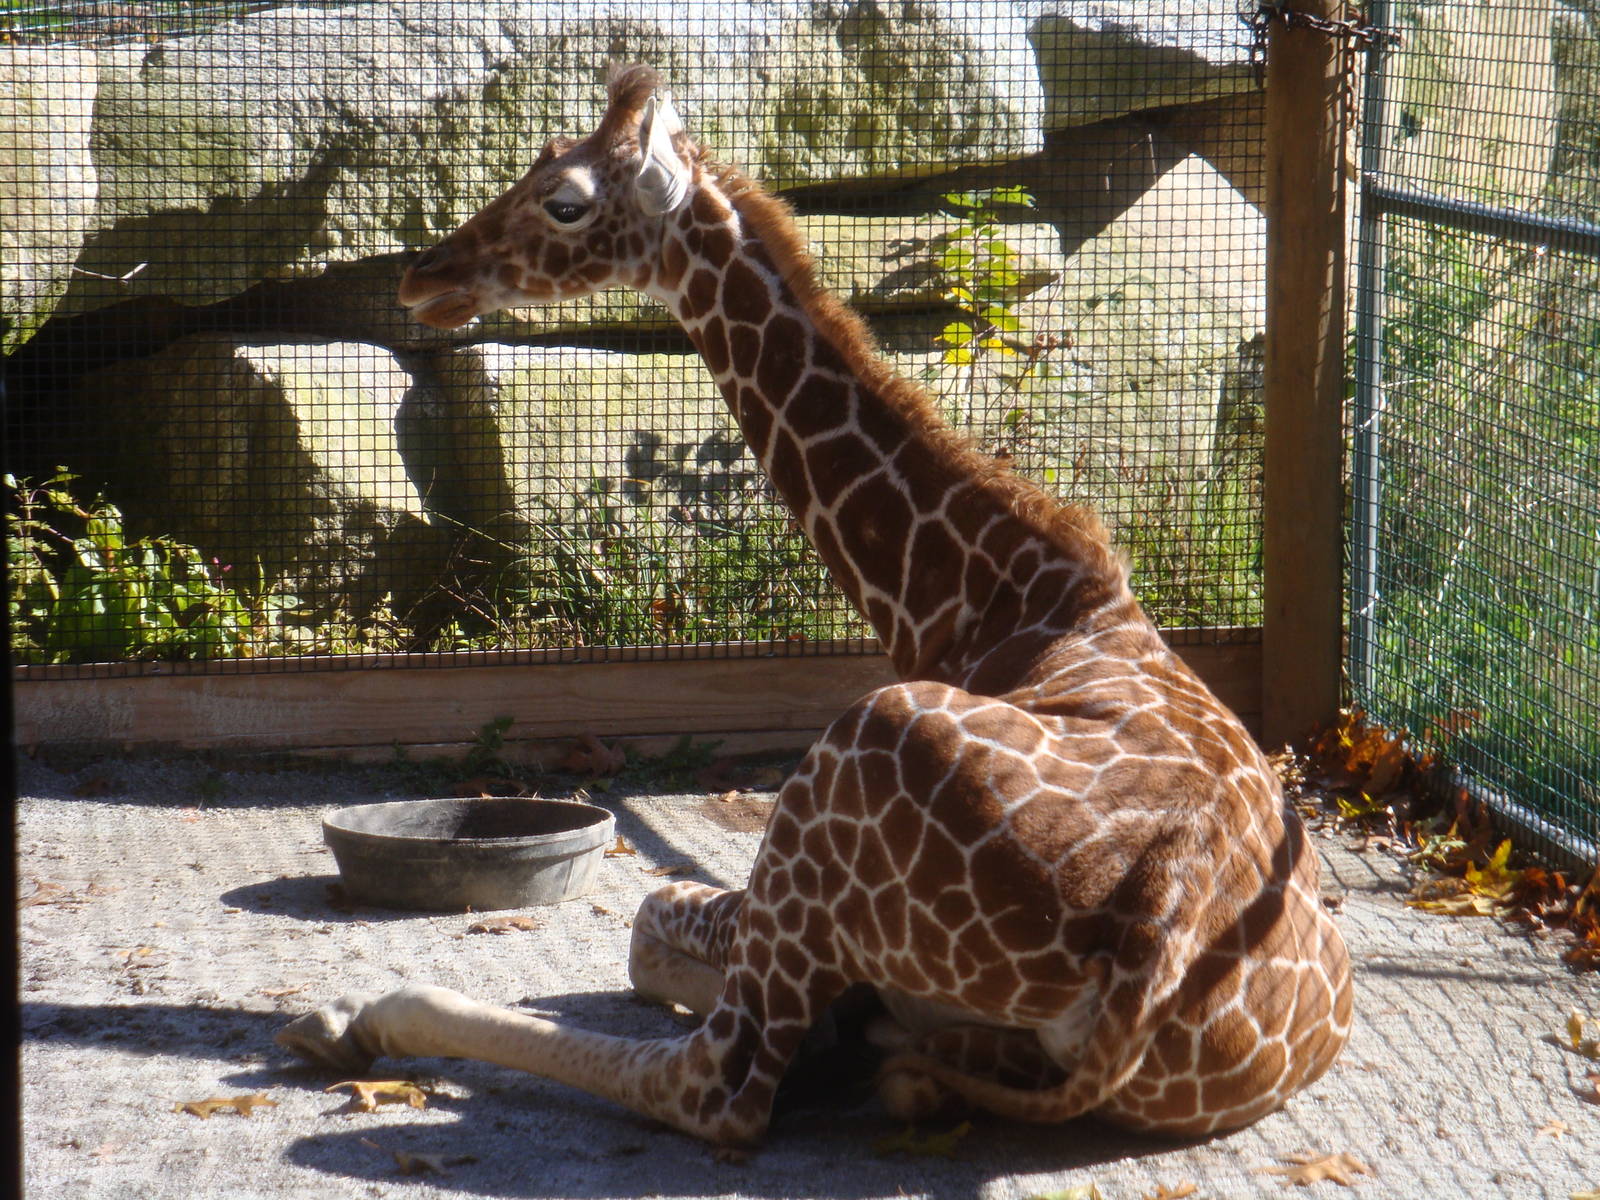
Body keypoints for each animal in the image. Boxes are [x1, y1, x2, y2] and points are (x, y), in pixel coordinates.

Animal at [278, 64, 1353, 1147]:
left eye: (565, 200)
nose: (424, 276)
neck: (982, 595)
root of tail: (1153, 938)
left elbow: (646, 927)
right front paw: (876, 1049)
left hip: (845, 765)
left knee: (716, 1089)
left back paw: (358, 1015)